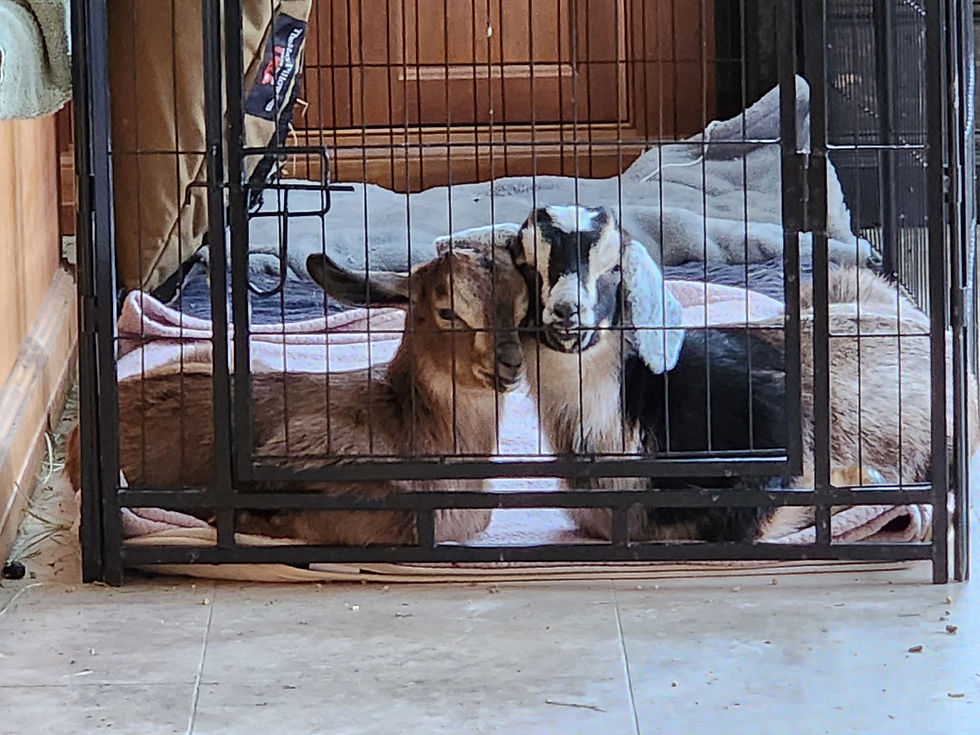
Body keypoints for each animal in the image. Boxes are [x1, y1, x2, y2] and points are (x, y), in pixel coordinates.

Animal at [510, 204, 978, 542]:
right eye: (529, 267)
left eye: (614, 269)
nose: (567, 312)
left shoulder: (770, 426)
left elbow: (753, 515)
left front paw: (861, 479)